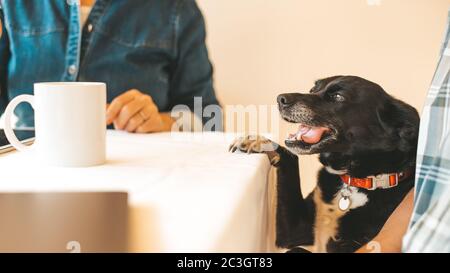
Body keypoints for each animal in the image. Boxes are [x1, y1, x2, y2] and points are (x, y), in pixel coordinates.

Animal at [230, 75, 420, 252]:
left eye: (337, 96)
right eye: (313, 89)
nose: (280, 99)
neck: (355, 182)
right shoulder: (294, 233)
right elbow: (291, 158)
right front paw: (260, 141)